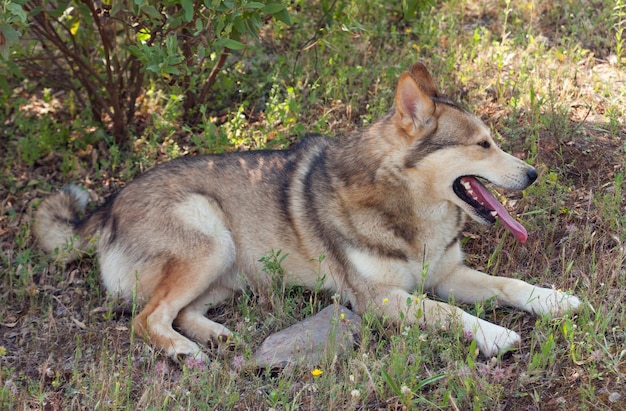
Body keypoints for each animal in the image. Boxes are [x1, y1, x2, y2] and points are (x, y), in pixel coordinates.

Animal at [35, 62, 580, 364]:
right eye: (483, 144)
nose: (533, 174)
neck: (408, 209)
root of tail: (106, 208)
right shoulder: (380, 299)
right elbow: (449, 313)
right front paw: (495, 334)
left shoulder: (448, 274)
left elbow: (509, 285)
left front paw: (554, 301)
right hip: (209, 238)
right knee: (146, 319)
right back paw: (185, 351)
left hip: (228, 271)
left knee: (181, 312)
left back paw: (217, 336)